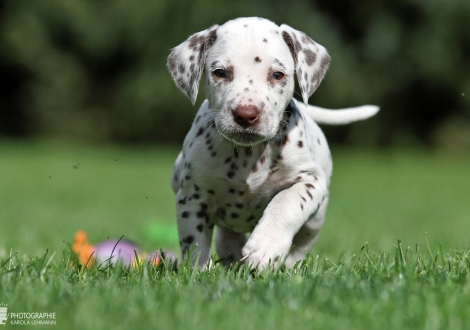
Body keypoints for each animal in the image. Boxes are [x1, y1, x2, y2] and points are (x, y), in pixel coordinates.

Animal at [167, 16, 380, 270]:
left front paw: (265, 248)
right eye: (220, 73)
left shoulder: (309, 180)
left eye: (277, 75)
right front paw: (199, 271)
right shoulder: (191, 197)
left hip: (315, 221)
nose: (246, 114)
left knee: (301, 246)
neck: (248, 155)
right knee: (228, 236)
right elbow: (195, 242)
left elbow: (286, 203)